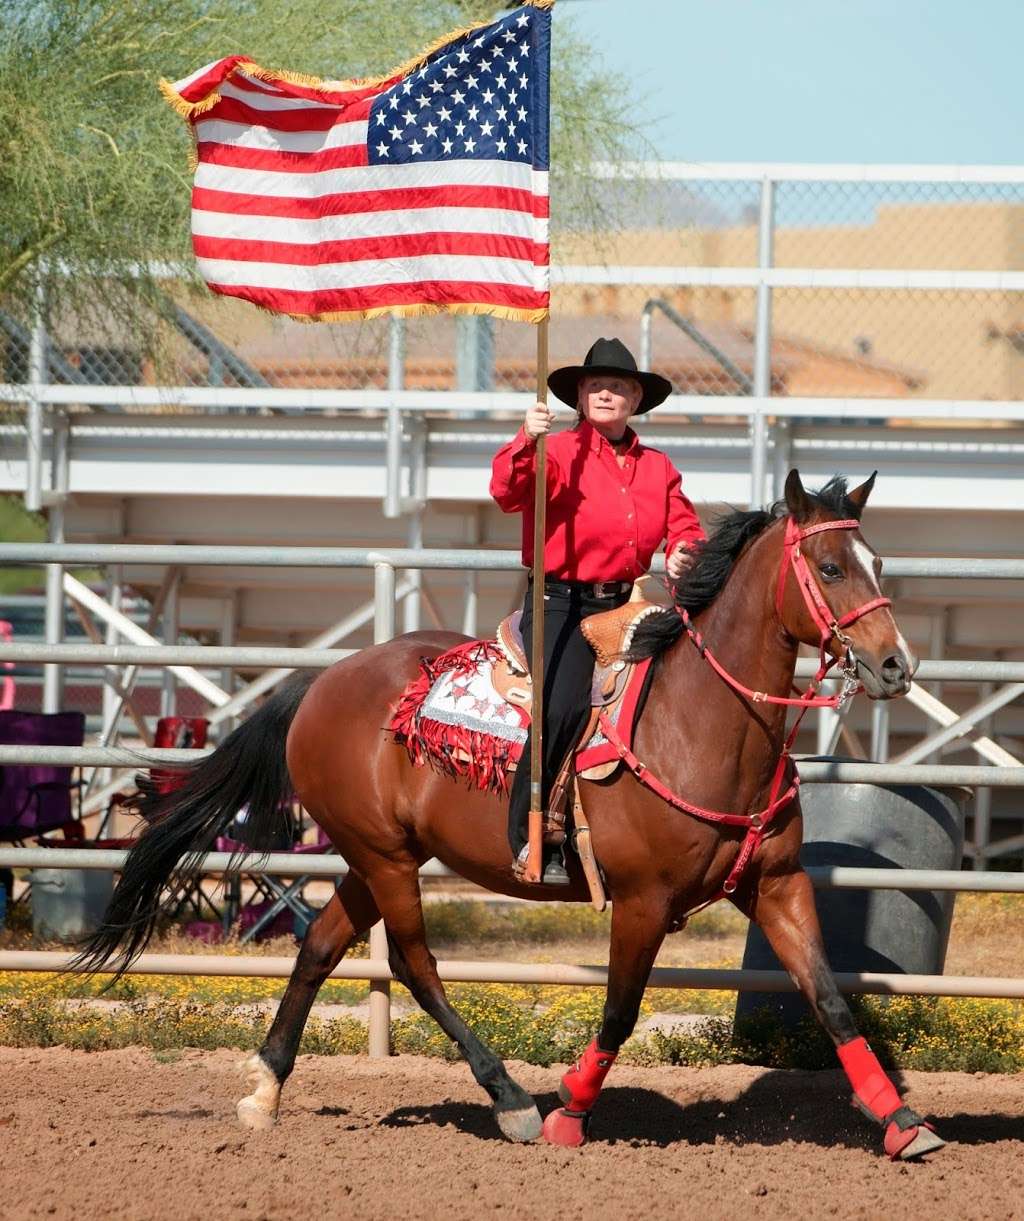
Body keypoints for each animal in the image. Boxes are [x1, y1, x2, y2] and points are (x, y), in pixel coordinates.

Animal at [78, 471, 947, 1157]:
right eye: (829, 565)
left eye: (877, 562)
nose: (895, 664)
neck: (700, 720)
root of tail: (320, 682)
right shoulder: (642, 902)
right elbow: (621, 1010)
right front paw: (568, 1112)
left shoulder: (776, 883)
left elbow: (829, 996)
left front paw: (902, 1121)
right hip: (385, 858)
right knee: (414, 964)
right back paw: (512, 1100)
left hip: (375, 855)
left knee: (320, 946)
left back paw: (265, 1088)